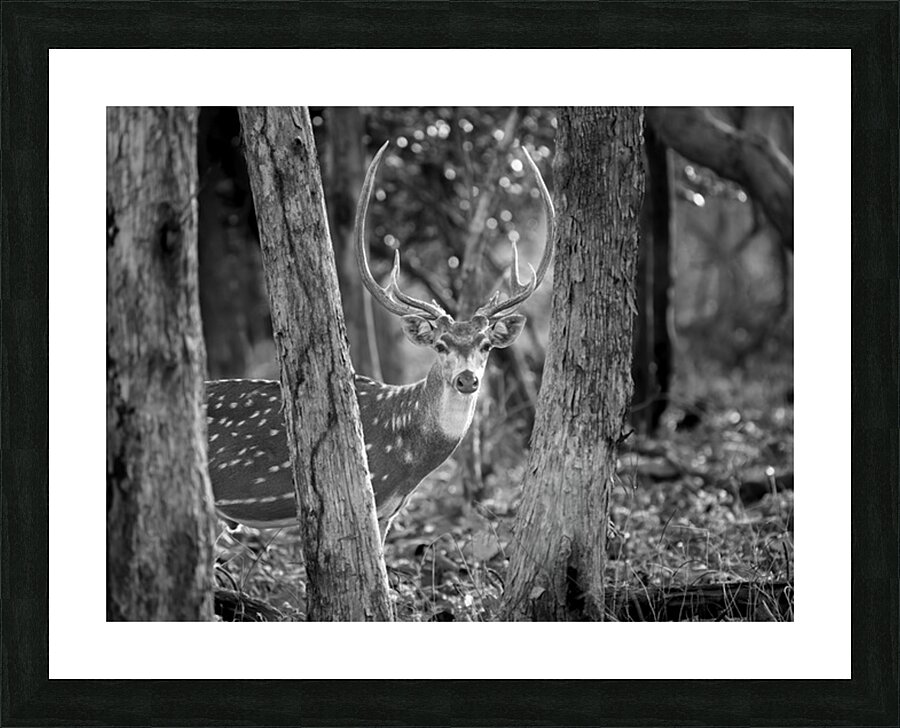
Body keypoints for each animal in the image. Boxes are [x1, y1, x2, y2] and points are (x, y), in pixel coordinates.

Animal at [207, 140, 555, 541]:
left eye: (485, 345)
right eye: (440, 345)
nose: (467, 380)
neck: (407, 458)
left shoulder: (391, 510)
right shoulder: (370, 493)